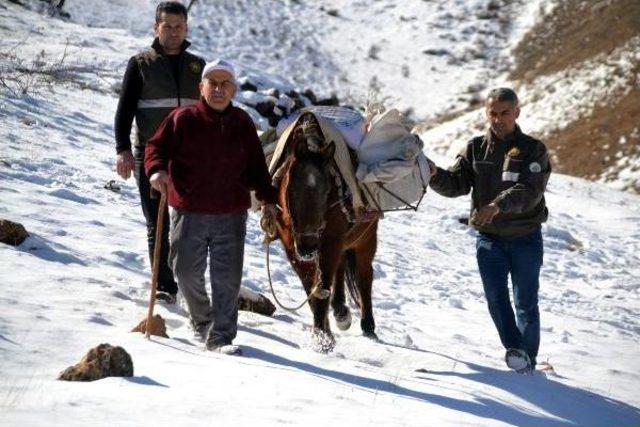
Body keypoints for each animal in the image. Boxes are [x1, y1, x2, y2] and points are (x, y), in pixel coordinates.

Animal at [272, 112, 380, 352]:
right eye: (292, 189)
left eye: (326, 191)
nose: (309, 246)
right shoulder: (291, 244)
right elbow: (310, 285)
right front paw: (323, 332)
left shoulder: (330, 240)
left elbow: (322, 286)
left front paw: (324, 340)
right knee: (340, 269)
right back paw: (340, 312)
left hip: (365, 239)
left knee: (364, 277)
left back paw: (368, 325)